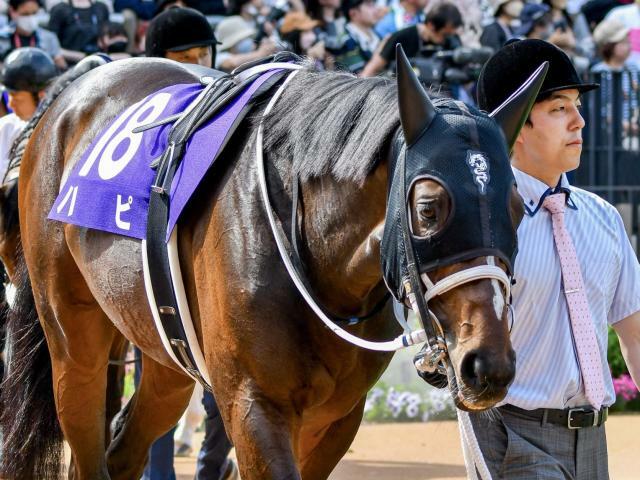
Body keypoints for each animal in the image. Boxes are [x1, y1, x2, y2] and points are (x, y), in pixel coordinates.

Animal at [0, 50, 540, 478]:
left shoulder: (336, 416)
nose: (487, 364)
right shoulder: (255, 404)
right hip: (73, 342)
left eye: (517, 208)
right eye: (428, 208)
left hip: (162, 350)